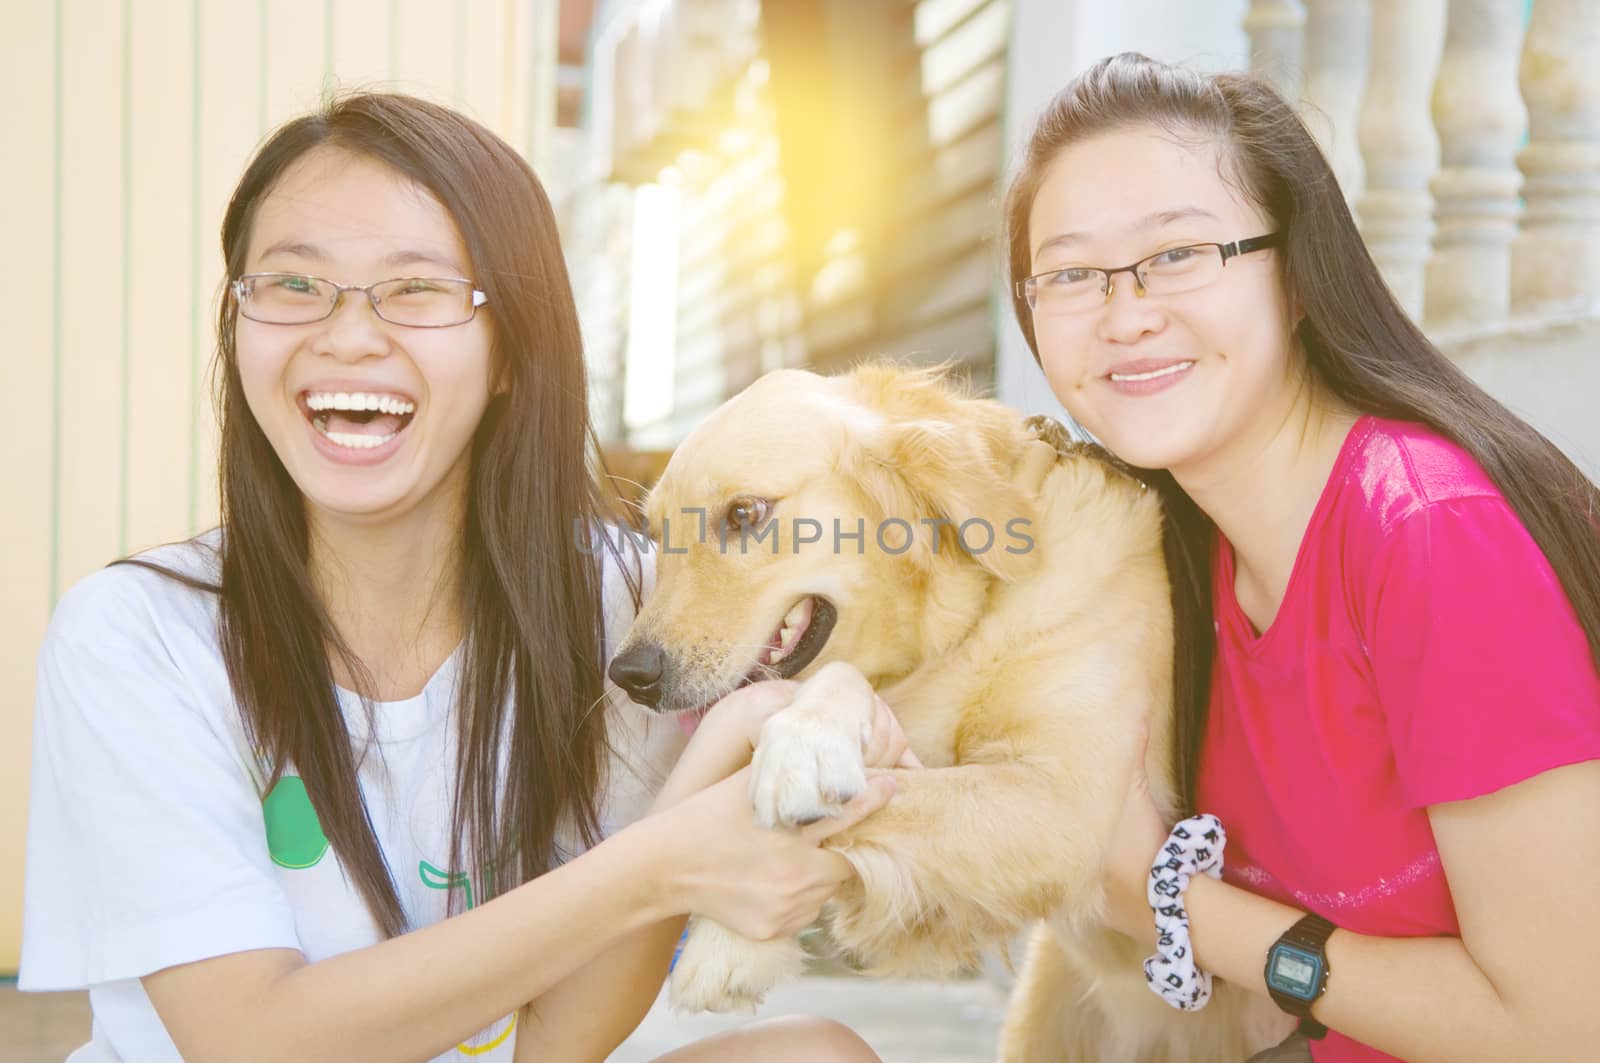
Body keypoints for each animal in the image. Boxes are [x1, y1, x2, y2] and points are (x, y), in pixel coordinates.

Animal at [604, 365, 1292, 1063]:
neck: (971, 621)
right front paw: (737, 941)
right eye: (656, 535)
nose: (629, 676)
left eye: (744, 514)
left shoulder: (1064, 806)